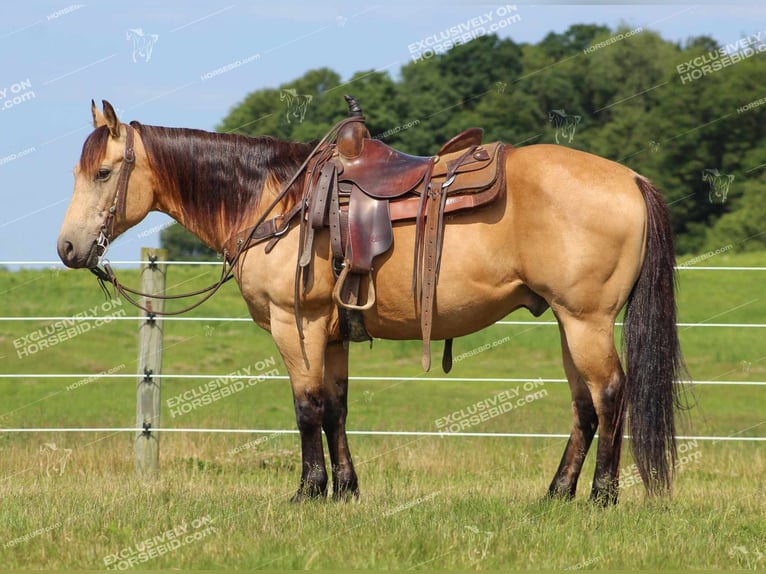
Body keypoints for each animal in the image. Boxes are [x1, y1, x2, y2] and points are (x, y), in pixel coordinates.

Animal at [57, 101, 688, 506]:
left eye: (104, 172)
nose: (67, 248)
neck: (273, 200)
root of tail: (631, 179)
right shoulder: (334, 333)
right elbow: (335, 408)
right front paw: (345, 490)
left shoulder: (297, 324)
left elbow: (306, 406)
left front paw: (308, 492)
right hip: (568, 322)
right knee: (585, 406)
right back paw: (557, 494)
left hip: (586, 321)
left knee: (611, 394)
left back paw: (602, 496)